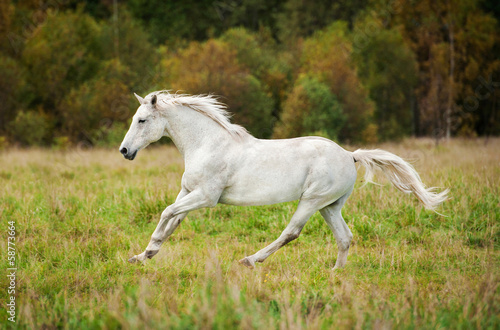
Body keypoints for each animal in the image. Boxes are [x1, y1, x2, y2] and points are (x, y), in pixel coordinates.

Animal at [119, 91, 448, 270]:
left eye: (142, 120)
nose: (124, 151)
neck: (207, 144)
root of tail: (350, 155)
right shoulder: (187, 191)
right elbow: (172, 220)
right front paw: (142, 255)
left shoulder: (206, 197)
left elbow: (167, 213)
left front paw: (147, 252)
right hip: (330, 206)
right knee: (344, 237)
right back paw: (335, 273)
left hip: (312, 201)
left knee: (291, 232)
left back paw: (250, 260)